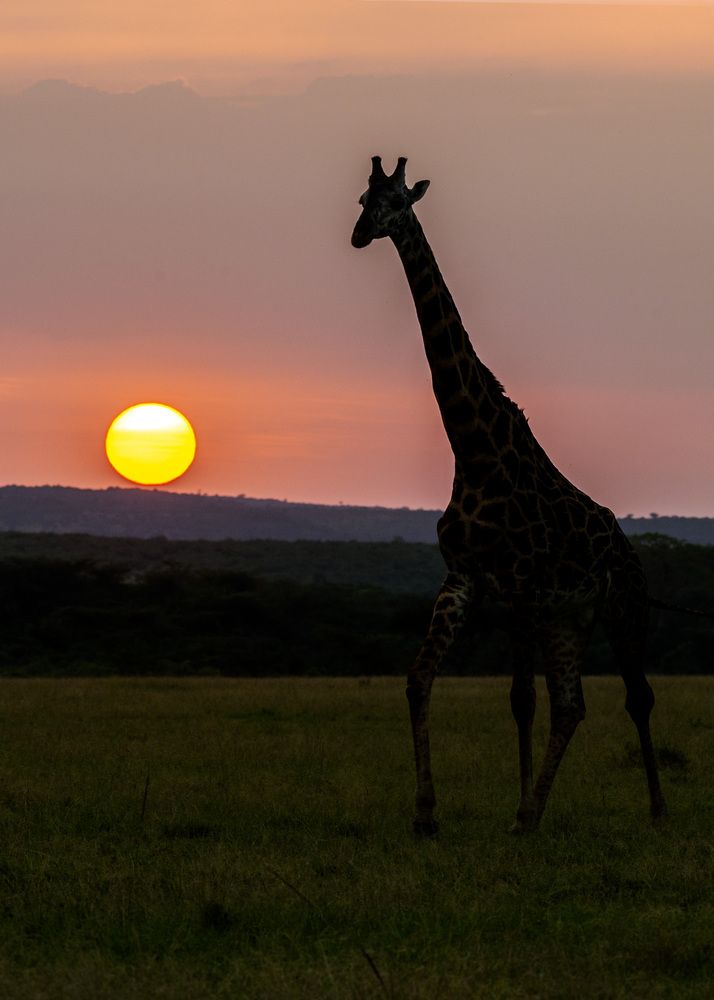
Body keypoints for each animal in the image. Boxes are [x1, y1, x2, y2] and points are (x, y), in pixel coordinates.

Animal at [351, 156, 666, 835]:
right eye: (364, 198)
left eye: (398, 201)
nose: (361, 234)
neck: (474, 451)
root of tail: (628, 547)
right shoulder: (465, 578)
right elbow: (419, 679)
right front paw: (426, 813)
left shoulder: (521, 586)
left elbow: (521, 697)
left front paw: (514, 806)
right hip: (570, 616)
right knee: (572, 703)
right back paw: (535, 811)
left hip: (623, 606)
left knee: (637, 695)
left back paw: (653, 809)